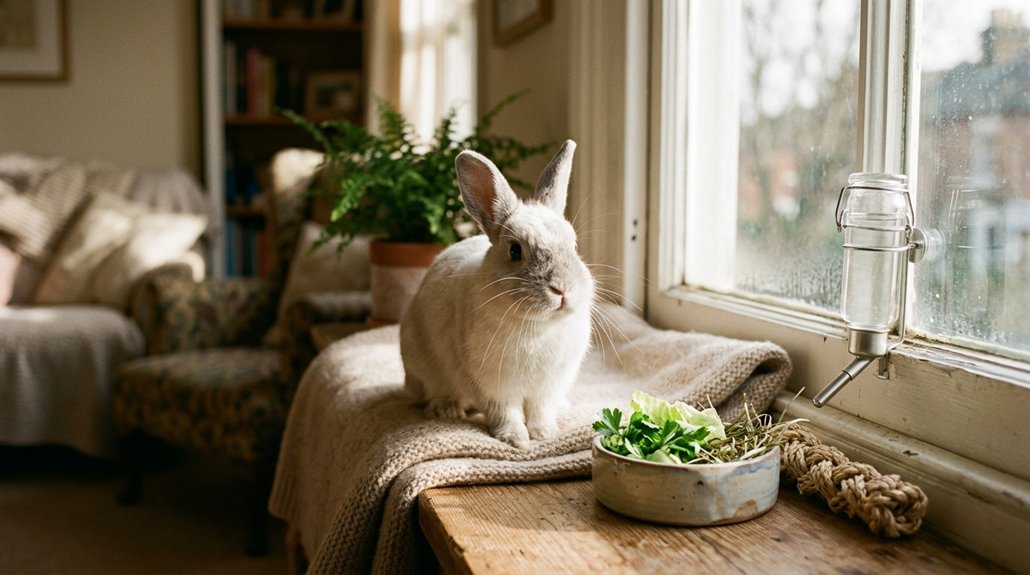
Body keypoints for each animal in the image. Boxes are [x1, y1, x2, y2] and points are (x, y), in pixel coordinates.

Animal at [399, 140, 595, 449]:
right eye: (515, 250)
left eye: (574, 246)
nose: (562, 289)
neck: (538, 326)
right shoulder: (492, 386)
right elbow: (505, 413)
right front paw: (516, 440)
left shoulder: (547, 387)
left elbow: (540, 410)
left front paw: (545, 434)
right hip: (421, 368)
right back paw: (447, 409)